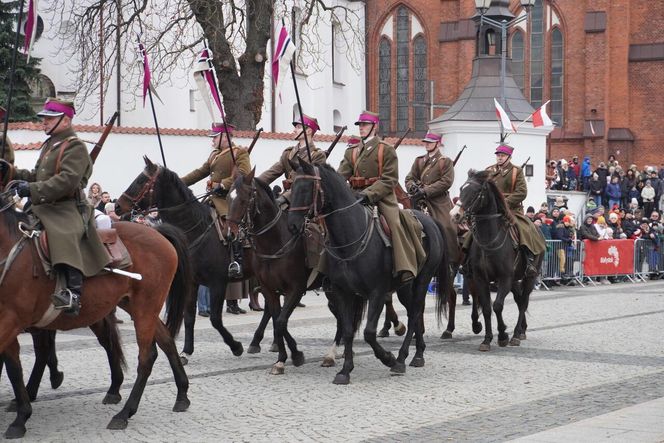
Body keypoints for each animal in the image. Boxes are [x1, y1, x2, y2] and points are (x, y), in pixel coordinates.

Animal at [0, 193, 192, 438]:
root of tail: (157, 232)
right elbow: (14, 368)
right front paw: (21, 415)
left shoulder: (11, 320)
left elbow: (16, 366)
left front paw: (21, 415)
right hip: (134, 306)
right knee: (165, 340)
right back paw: (181, 395)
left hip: (146, 307)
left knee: (146, 357)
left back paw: (124, 414)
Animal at [115, 158, 248, 362]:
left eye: (140, 181)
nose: (117, 206)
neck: (195, 229)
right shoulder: (192, 282)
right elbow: (189, 316)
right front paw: (186, 350)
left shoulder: (218, 282)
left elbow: (215, 319)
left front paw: (236, 346)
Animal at [286, 160, 452, 386]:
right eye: (293, 188)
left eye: (306, 188)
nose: (293, 225)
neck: (349, 238)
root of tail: (430, 221)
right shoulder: (342, 292)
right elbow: (348, 331)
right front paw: (345, 371)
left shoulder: (377, 293)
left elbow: (369, 332)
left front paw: (388, 358)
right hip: (404, 286)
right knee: (413, 312)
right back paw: (418, 353)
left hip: (422, 281)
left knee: (415, 313)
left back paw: (403, 359)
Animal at [448, 172, 544, 352]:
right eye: (461, 188)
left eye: (475, 191)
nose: (454, 214)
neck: (489, 240)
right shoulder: (480, 279)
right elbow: (487, 308)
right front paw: (487, 339)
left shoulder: (504, 278)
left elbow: (497, 306)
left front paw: (503, 335)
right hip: (514, 280)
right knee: (519, 300)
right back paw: (522, 330)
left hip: (529, 277)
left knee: (523, 302)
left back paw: (516, 335)